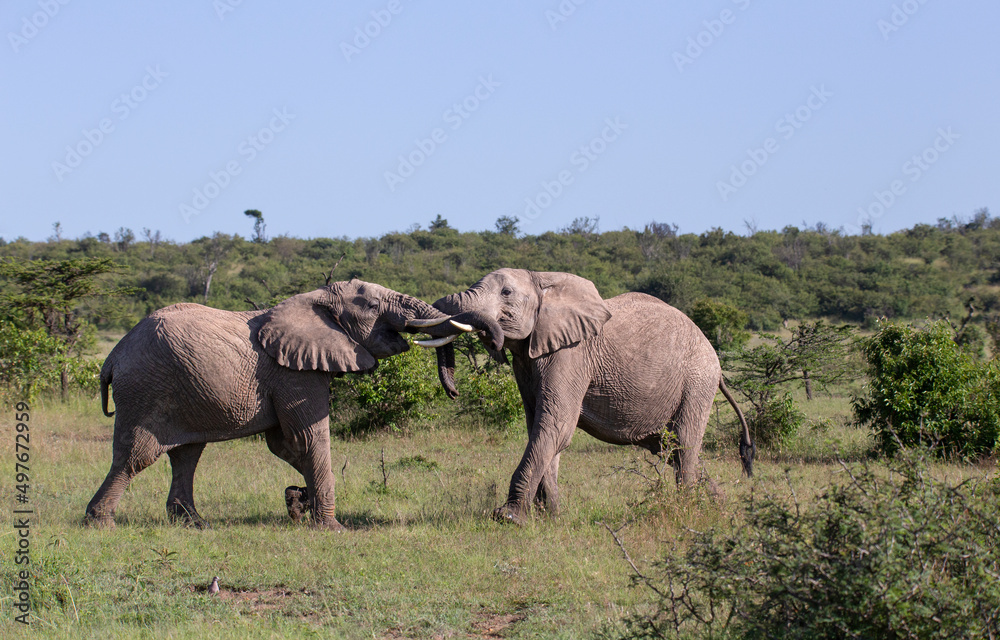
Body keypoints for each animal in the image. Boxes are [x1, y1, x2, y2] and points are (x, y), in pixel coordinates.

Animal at [85, 279, 502, 531]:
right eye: (372, 304)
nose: (454, 393)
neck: (314, 299)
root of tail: (112, 358)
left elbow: (286, 445)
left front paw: (297, 502)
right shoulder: (293, 373)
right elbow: (308, 438)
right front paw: (331, 527)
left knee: (186, 454)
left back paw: (193, 523)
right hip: (146, 389)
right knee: (137, 455)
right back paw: (101, 523)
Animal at [429, 269, 755, 525]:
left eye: (506, 292)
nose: (454, 392)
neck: (543, 281)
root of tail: (715, 358)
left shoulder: (571, 354)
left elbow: (556, 426)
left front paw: (509, 518)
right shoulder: (529, 357)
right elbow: (540, 426)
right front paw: (551, 518)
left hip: (697, 383)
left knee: (684, 444)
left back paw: (687, 511)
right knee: (671, 449)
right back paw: (720, 508)